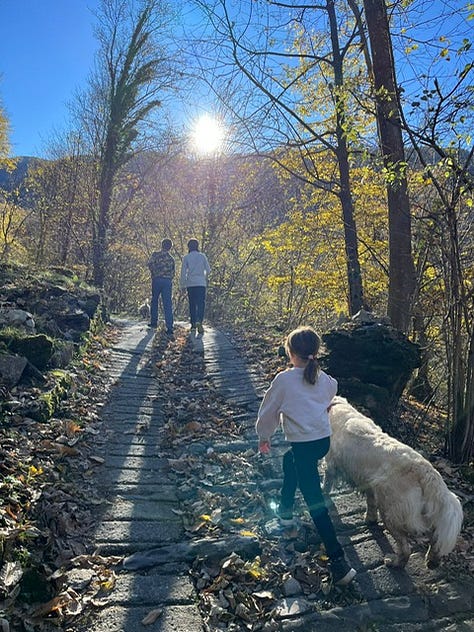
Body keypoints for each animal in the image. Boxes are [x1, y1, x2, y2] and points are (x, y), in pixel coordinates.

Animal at [326, 396, 462, 568]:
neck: (336, 406)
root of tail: (426, 470)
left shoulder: (331, 464)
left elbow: (325, 484)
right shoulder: (370, 484)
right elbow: (370, 502)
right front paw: (370, 519)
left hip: (391, 511)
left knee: (405, 548)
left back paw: (394, 561)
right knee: (435, 537)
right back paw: (433, 559)